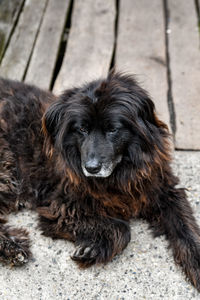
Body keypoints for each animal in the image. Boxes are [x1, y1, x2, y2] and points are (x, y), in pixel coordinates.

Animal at [0, 71, 200, 292]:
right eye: (82, 129)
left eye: (113, 129)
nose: (91, 168)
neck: (119, 175)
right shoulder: (60, 206)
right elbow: (123, 229)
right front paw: (93, 249)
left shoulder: (164, 188)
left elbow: (185, 226)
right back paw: (13, 247)